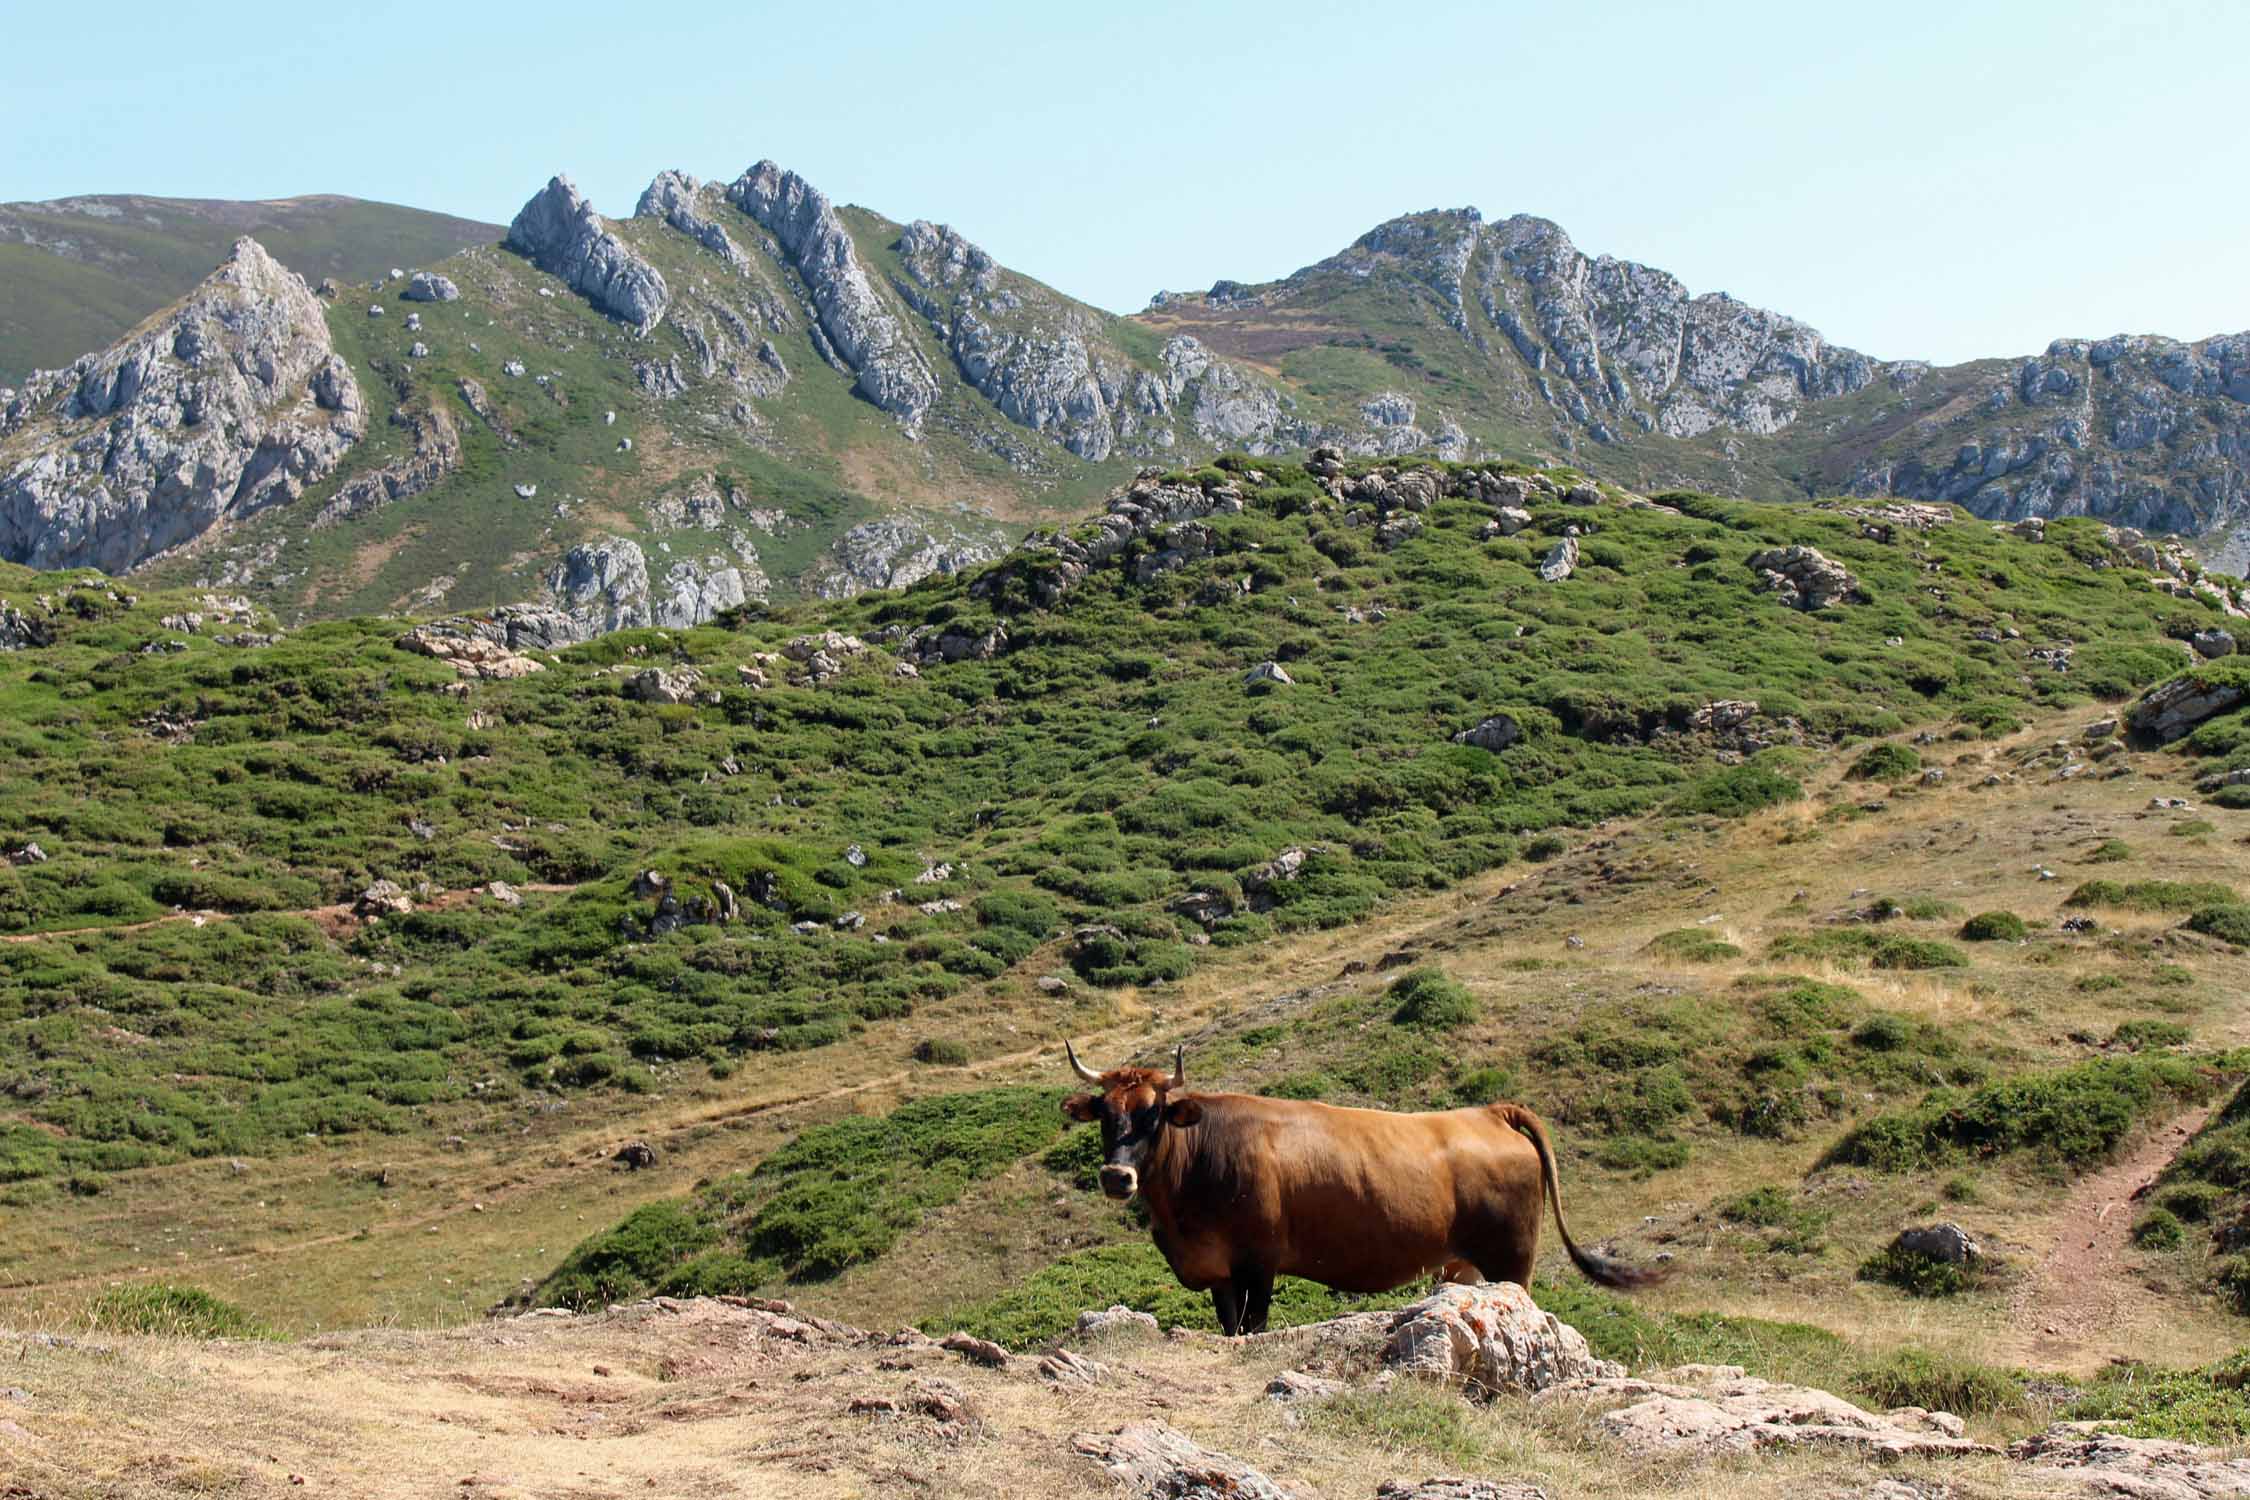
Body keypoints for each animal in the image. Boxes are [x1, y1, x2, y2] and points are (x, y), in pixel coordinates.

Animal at [1053, 1034, 1656, 1340]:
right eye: (1105, 1113)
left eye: (1153, 1115)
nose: (1116, 1176)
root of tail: (1490, 1111)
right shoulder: (1219, 1272)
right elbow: (1229, 1328)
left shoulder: (1259, 1264)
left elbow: (1253, 1327)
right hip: (1462, 1266)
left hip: (1512, 1260)